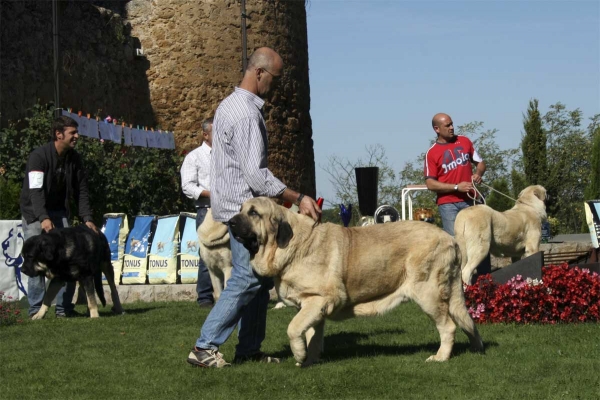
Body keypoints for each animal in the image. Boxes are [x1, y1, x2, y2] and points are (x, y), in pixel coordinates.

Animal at [227, 196, 486, 366]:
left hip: (428, 294)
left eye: (253, 213)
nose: (230, 222)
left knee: (448, 326)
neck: (290, 244)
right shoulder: (313, 305)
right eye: (241, 209)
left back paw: (440, 357)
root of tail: (449, 239)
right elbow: (311, 334)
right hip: (451, 295)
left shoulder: (320, 299)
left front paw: (299, 356)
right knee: (468, 322)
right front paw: (310, 359)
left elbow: (293, 328)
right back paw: (476, 349)